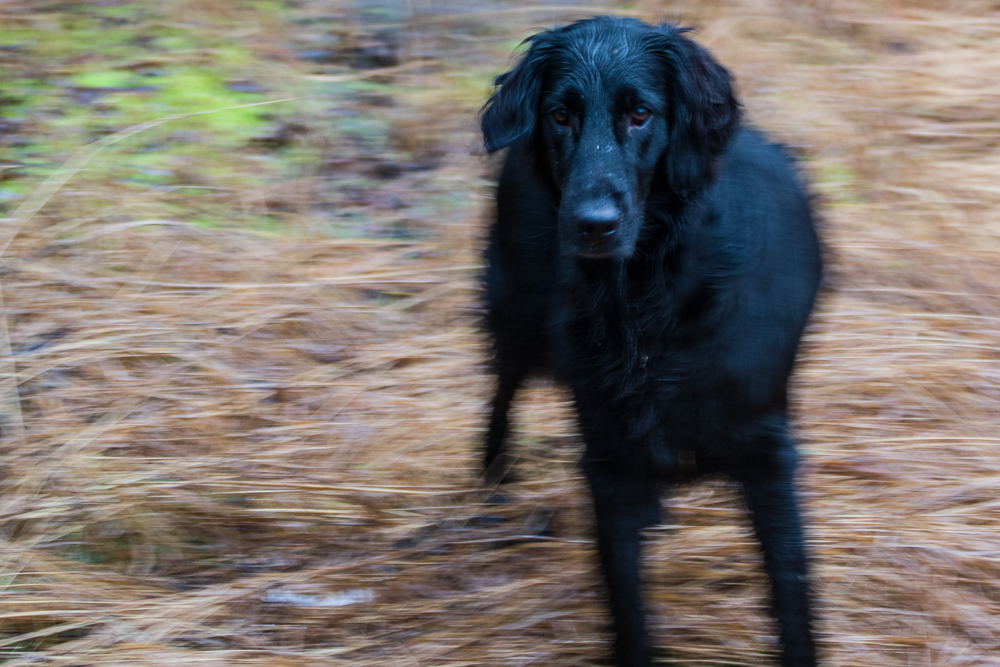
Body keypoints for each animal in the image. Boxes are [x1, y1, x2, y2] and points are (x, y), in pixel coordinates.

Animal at [479, 16, 822, 667]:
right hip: (516, 312)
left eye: (640, 114)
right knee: (500, 396)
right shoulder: (607, 457)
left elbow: (791, 591)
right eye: (560, 115)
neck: (644, 305)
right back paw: (488, 489)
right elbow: (626, 600)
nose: (592, 225)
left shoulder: (767, 451)